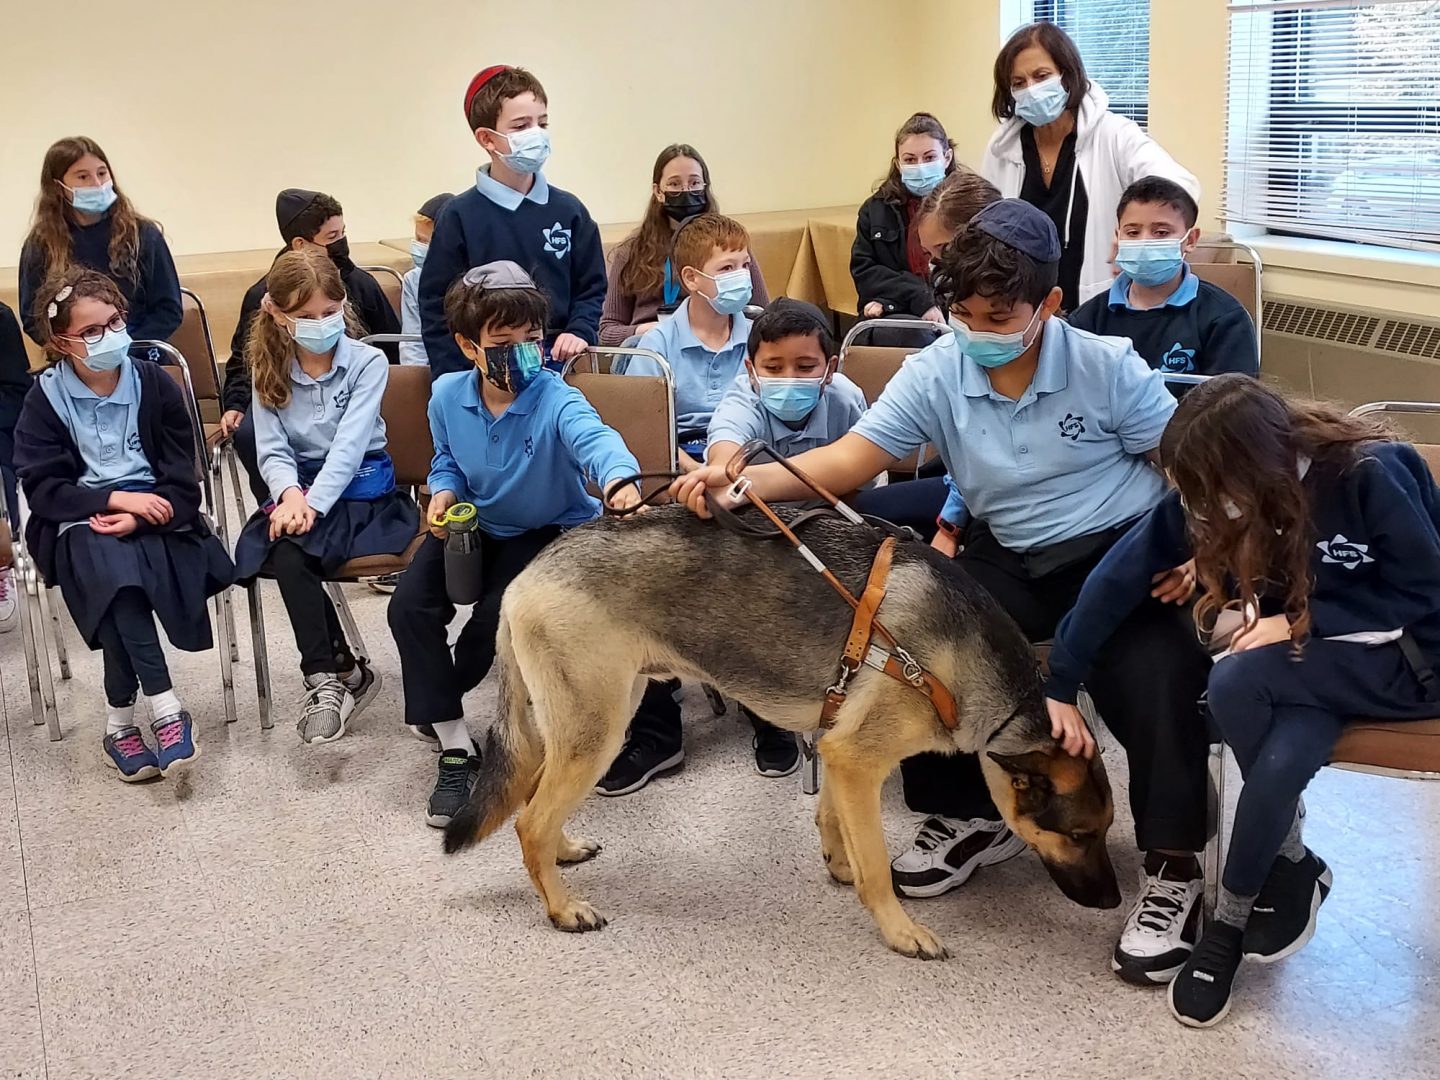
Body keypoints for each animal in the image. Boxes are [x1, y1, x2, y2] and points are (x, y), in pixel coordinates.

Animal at [443, 506, 1117, 961]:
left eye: (1102, 832)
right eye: (1079, 835)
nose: (1114, 901)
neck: (960, 659)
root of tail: (529, 571)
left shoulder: (839, 752)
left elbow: (832, 819)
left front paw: (839, 866)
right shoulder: (857, 758)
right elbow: (877, 865)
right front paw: (898, 930)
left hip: (592, 718)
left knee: (535, 804)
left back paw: (562, 854)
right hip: (597, 730)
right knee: (531, 820)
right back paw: (562, 908)